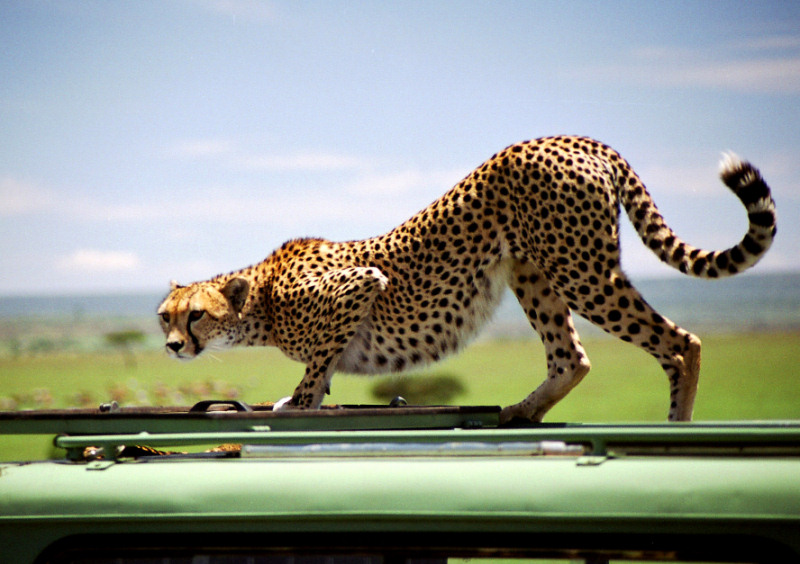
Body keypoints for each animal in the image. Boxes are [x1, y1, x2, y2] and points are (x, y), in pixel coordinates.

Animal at [156, 134, 776, 420]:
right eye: (165, 316)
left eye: (197, 316)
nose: (170, 346)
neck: (260, 297)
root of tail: (576, 138)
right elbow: (324, 365)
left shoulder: (361, 285)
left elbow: (317, 365)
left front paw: (298, 402)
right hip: (533, 271)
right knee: (571, 357)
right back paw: (524, 410)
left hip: (581, 269)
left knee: (680, 342)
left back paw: (676, 421)